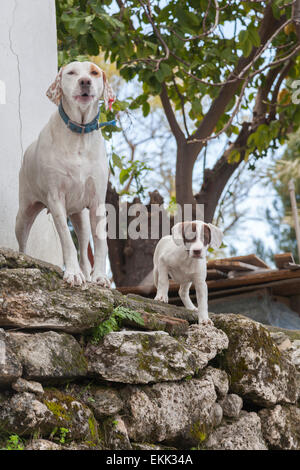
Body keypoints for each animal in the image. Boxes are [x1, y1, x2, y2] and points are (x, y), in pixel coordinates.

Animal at [14, 62, 116, 286]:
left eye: (94, 72)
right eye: (71, 73)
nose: (85, 81)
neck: (79, 134)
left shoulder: (97, 201)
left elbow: (101, 244)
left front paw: (100, 277)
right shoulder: (56, 198)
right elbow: (67, 241)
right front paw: (73, 273)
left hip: (81, 219)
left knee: (85, 254)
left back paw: (88, 273)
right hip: (23, 214)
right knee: (22, 245)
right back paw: (23, 259)